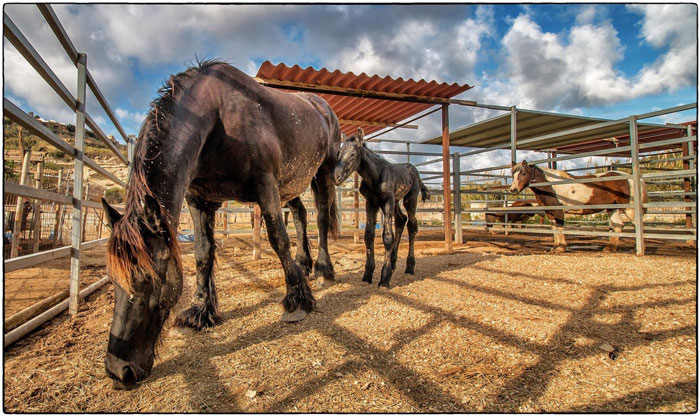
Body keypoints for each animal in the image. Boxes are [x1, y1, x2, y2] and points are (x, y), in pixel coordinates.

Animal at [102, 61, 342, 390]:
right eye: (113, 280)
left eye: (149, 279)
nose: (119, 371)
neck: (217, 119)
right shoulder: (199, 200)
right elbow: (203, 253)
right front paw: (200, 312)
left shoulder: (265, 184)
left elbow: (277, 238)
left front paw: (297, 302)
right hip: (293, 184)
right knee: (301, 215)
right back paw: (304, 263)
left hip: (323, 172)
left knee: (320, 217)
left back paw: (323, 269)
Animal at [332, 130, 426, 290]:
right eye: (338, 153)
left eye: (353, 154)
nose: (336, 176)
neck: (375, 176)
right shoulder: (371, 203)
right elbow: (368, 235)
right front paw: (367, 275)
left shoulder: (387, 202)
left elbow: (387, 237)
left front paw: (384, 278)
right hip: (396, 201)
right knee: (401, 220)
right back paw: (393, 263)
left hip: (410, 199)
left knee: (412, 226)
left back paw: (410, 266)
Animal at [508, 162, 652, 254]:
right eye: (512, 174)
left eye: (523, 173)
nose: (513, 189)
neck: (551, 185)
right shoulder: (550, 212)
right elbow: (554, 229)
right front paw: (555, 247)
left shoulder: (559, 211)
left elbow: (560, 228)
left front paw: (561, 248)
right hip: (613, 208)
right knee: (618, 225)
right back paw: (610, 248)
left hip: (630, 209)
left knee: (637, 225)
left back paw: (639, 249)